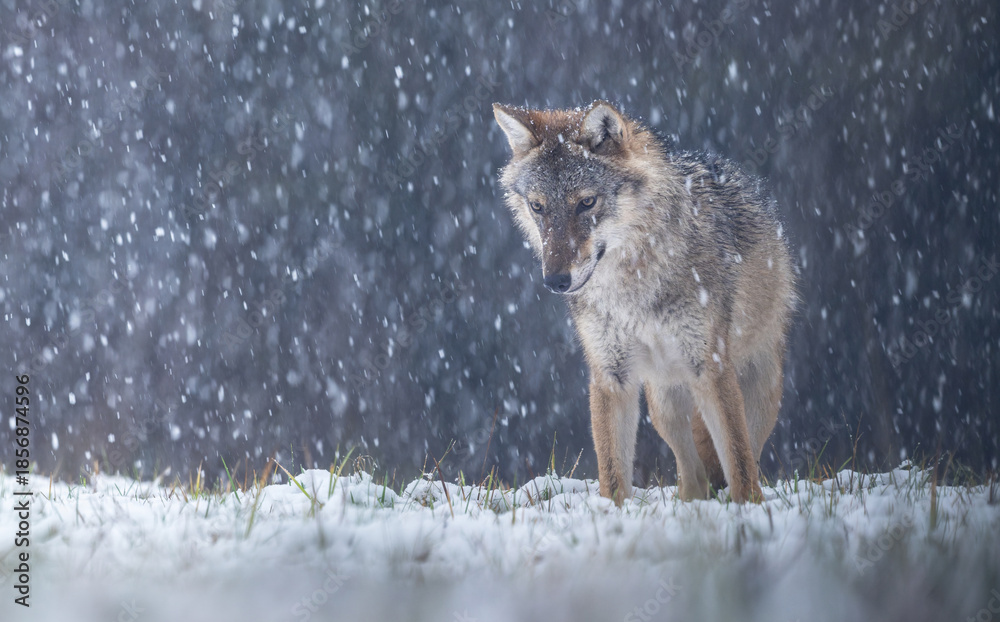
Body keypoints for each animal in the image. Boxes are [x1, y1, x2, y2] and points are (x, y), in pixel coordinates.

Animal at [492, 101, 795, 504]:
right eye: (538, 207)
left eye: (586, 202)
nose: (556, 281)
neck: (631, 284)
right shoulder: (610, 373)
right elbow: (612, 471)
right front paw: (612, 512)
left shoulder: (710, 366)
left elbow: (739, 461)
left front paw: (748, 508)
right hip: (664, 404)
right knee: (692, 473)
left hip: (759, 393)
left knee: (748, 455)